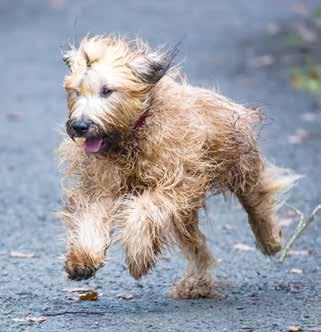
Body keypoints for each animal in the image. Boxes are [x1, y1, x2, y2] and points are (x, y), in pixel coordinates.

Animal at [57, 35, 296, 298]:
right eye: (76, 91)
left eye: (107, 91)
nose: (80, 126)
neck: (134, 133)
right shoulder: (101, 185)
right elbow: (92, 215)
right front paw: (83, 260)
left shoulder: (177, 181)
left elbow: (144, 209)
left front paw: (138, 255)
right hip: (186, 211)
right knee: (196, 243)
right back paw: (198, 282)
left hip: (240, 166)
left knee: (258, 197)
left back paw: (270, 240)